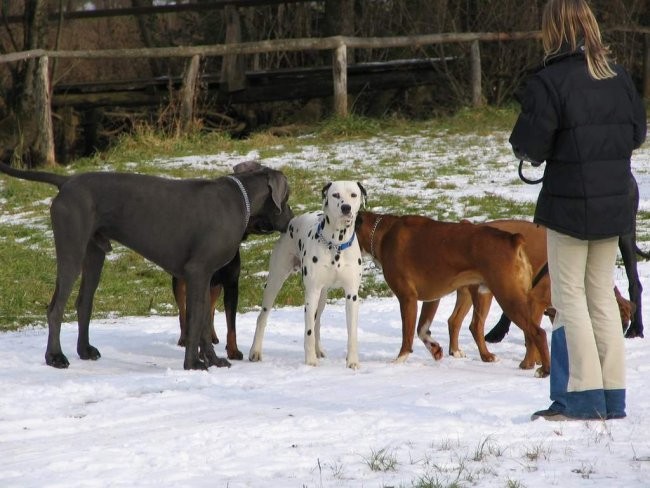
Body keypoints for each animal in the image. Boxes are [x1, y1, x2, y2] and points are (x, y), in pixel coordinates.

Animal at [0, 160, 292, 370]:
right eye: (286, 197)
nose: (290, 219)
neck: (239, 200)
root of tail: (67, 181)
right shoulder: (198, 273)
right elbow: (196, 320)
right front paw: (193, 364)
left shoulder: (207, 279)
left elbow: (204, 323)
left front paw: (213, 360)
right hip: (71, 248)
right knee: (55, 308)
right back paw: (55, 357)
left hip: (94, 253)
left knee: (83, 303)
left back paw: (85, 350)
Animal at [354, 211, 548, 378]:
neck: (384, 233)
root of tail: (513, 239)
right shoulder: (432, 298)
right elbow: (421, 329)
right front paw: (435, 349)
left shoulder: (407, 299)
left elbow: (407, 334)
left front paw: (399, 361)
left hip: (508, 298)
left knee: (537, 332)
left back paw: (544, 370)